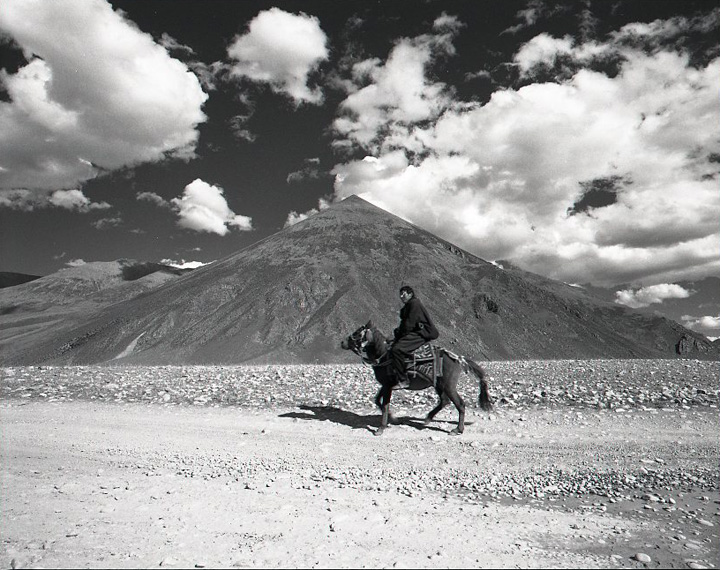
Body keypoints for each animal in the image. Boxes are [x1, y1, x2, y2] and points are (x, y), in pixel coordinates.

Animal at [340, 320, 492, 434]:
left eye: (357, 333)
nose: (342, 343)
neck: (383, 355)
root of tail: (458, 358)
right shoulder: (385, 385)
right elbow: (378, 401)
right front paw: (393, 419)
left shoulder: (388, 385)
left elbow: (385, 404)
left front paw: (381, 428)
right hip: (438, 384)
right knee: (444, 401)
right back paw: (428, 418)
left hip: (448, 385)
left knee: (459, 404)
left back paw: (457, 429)